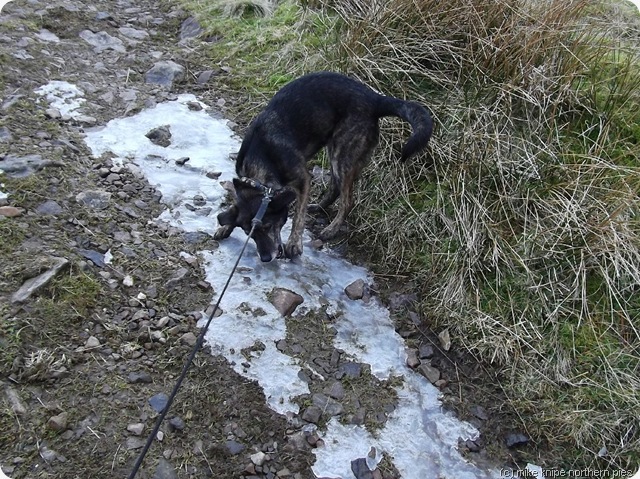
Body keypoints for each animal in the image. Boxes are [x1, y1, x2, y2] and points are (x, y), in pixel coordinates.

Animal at [215, 71, 436, 262]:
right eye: (249, 233)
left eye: (268, 226)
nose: (266, 258)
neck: (259, 161)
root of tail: (374, 99)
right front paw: (225, 227)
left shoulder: (303, 179)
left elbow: (298, 217)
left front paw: (294, 244)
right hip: (335, 150)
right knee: (335, 187)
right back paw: (320, 207)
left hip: (342, 153)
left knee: (347, 200)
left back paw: (332, 229)